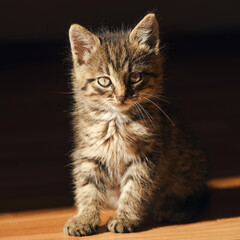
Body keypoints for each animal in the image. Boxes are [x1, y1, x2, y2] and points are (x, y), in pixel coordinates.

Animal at [63, 13, 206, 236]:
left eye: (135, 77)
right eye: (104, 81)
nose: (122, 96)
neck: (115, 121)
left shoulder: (145, 157)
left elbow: (134, 189)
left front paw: (125, 217)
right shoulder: (89, 153)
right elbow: (87, 187)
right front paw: (84, 218)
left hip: (187, 161)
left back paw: (170, 206)